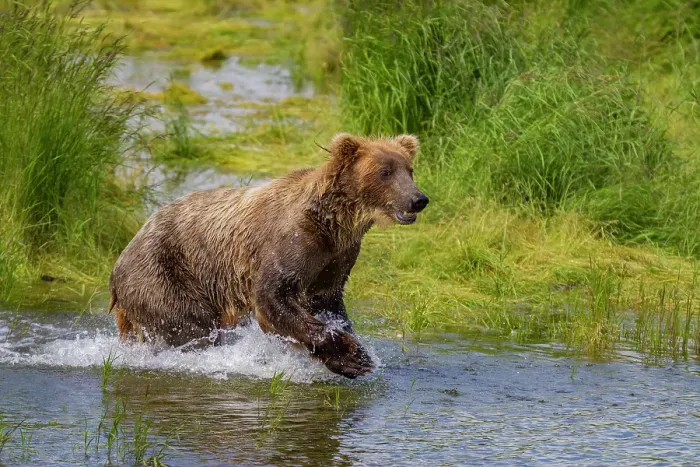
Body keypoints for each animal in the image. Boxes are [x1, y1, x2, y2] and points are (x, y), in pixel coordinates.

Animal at [108, 133, 429, 378]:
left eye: (409, 170)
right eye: (384, 172)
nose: (418, 199)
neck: (334, 223)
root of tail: (119, 263)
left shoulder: (336, 258)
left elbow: (327, 301)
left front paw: (355, 350)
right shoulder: (290, 243)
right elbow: (273, 297)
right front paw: (349, 355)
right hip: (164, 275)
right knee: (190, 328)